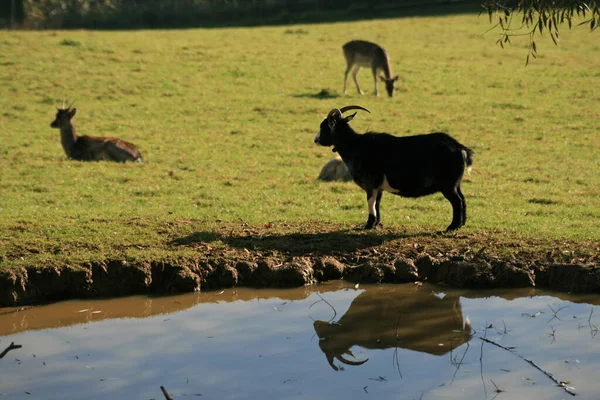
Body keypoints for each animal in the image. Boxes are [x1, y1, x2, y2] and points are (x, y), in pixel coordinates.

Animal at [314, 106, 474, 231]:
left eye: (324, 126)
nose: (316, 140)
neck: (355, 146)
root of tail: (460, 148)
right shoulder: (378, 187)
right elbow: (377, 203)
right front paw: (375, 224)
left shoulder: (371, 184)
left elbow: (370, 202)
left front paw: (368, 225)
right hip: (456, 183)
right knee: (462, 198)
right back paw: (461, 225)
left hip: (448, 185)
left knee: (457, 201)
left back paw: (451, 227)